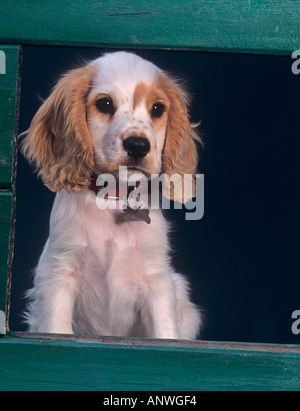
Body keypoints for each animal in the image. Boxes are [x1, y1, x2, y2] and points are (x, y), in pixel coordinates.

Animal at [21, 51, 202, 340]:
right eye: (104, 103)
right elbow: (58, 329)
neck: (113, 197)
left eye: (157, 109)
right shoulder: (58, 274)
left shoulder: (157, 281)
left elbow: (164, 333)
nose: (138, 145)